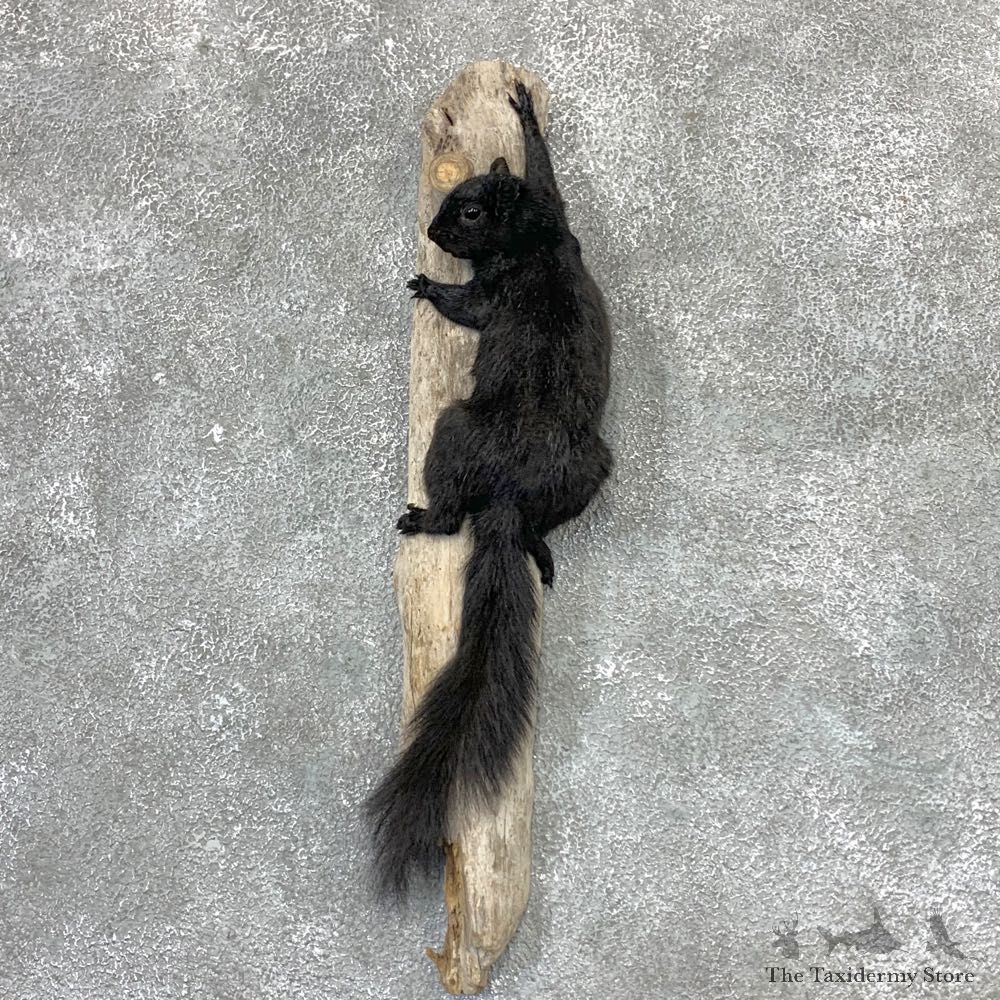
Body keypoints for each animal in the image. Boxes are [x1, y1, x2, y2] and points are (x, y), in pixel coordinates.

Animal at [364, 81, 612, 898]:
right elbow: (547, 167)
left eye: (469, 212)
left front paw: (426, 284)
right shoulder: (558, 208)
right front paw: (525, 111)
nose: (432, 230)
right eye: (456, 194)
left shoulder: (497, 287)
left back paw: (426, 518)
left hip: (453, 432)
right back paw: (539, 543)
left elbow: (466, 307)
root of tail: (509, 499)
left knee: (450, 513)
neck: (534, 235)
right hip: (594, 468)